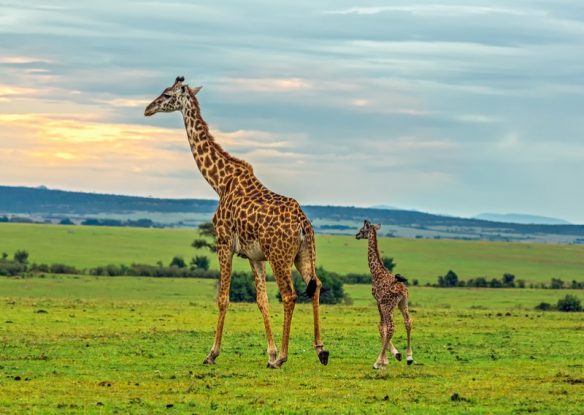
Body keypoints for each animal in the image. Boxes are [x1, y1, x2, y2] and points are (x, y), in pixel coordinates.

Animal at [144, 76, 328, 368]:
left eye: (166, 94)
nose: (147, 109)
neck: (220, 182)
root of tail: (303, 224)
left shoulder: (223, 244)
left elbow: (223, 298)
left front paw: (212, 353)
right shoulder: (254, 256)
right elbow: (261, 300)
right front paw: (269, 353)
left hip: (280, 256)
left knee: (290, 294)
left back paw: (284, 358)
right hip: (303, 254)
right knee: (316, 286)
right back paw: (320, 350)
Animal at [354, 223, 412, 368]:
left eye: (362, 230)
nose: (356, 235)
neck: (376, 271)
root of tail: (402, 290)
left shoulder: (378, 302)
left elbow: (381, 327)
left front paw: (383, 360)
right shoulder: (382, 304)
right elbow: (383, 327)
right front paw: (395, 355)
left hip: (388, 306)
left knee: (391, 327)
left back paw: (376, 362)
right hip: (403, 304)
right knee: (408, 322)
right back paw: (409, 357)